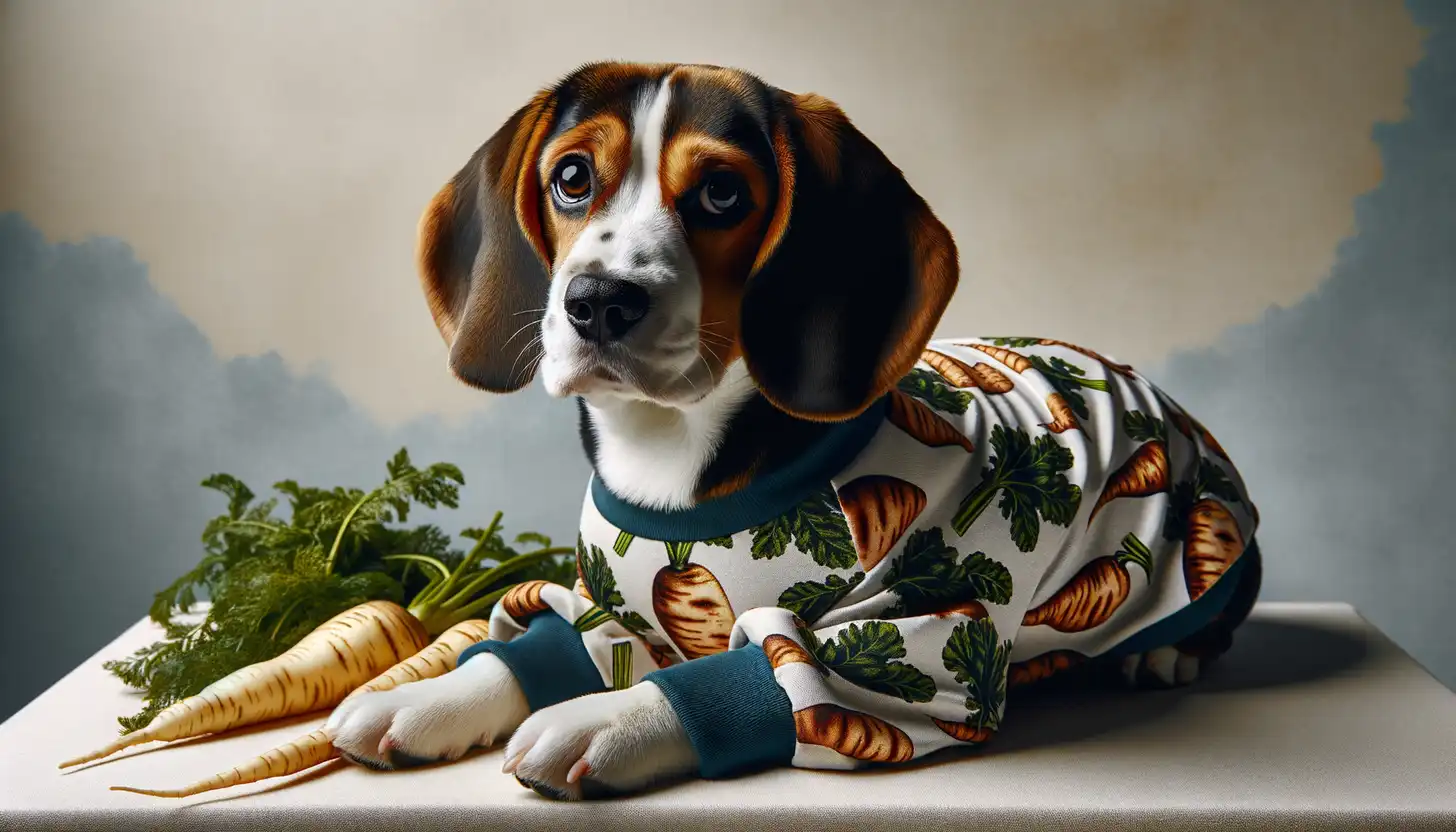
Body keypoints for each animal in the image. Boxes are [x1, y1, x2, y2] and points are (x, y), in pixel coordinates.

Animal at [324, 58, 1257, 798]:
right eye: (572, 178)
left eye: (721, 191)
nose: (596, 302)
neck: (670, 458)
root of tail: (1129, 373)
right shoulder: (604, 604)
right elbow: (540, 646)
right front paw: (421, 698)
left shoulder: (930, 633)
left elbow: (766, 673)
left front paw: (604, 720)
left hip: (1193, 538)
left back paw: (1160, 652)